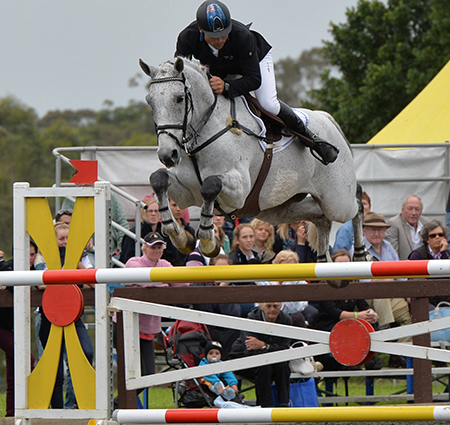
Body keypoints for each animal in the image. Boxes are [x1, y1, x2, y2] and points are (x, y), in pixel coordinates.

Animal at [140, 57, 370, 288]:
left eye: (179, 99)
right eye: (150, 101)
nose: (168, 155)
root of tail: (328, 119)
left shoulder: (238, 191)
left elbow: (211, 185)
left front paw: (207, 241)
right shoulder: (187, 193)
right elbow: (158, 179)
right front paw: (180, 237)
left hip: (337, 201)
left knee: (356, 204)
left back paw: (361, 256)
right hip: (278, 209)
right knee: (321, 217)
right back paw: (328, 267)